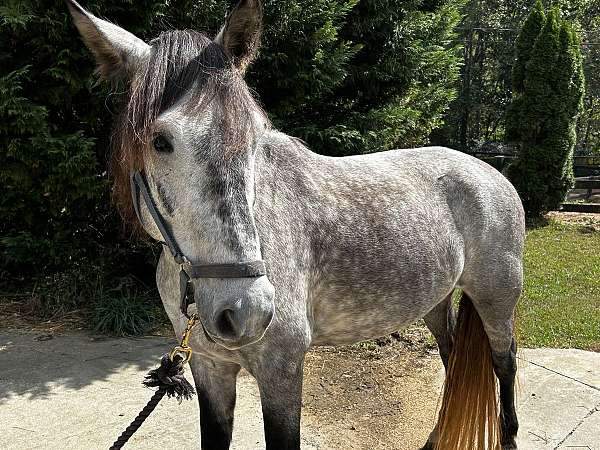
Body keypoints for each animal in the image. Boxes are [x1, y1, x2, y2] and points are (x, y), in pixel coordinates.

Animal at [68, 1, 524, 448]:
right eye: (160, 141)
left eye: (255, 137)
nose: (247, 312)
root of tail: (490, 173)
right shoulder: (211, 369)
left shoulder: (281, 371)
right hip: (435, 302)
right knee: (451, 359)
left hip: (496, 301)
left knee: (505, 362)